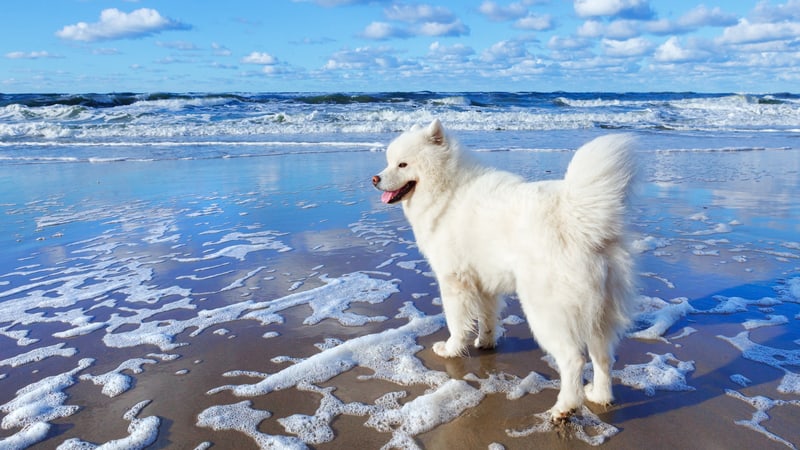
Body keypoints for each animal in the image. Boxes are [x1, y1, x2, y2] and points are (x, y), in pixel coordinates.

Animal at [374, 119, 636, 422]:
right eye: (388, 162)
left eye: (402, 164)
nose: (375, 179)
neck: (449, 190)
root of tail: (579, 219)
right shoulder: (484, 283)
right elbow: (486, 318)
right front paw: (485, 343)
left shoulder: (454, 282)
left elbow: (456, 322)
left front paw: (451, 350)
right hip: (599, 312)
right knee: (603, 356)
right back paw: (599, 395)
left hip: (546, 311)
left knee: (574, 359)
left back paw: (564, 407)